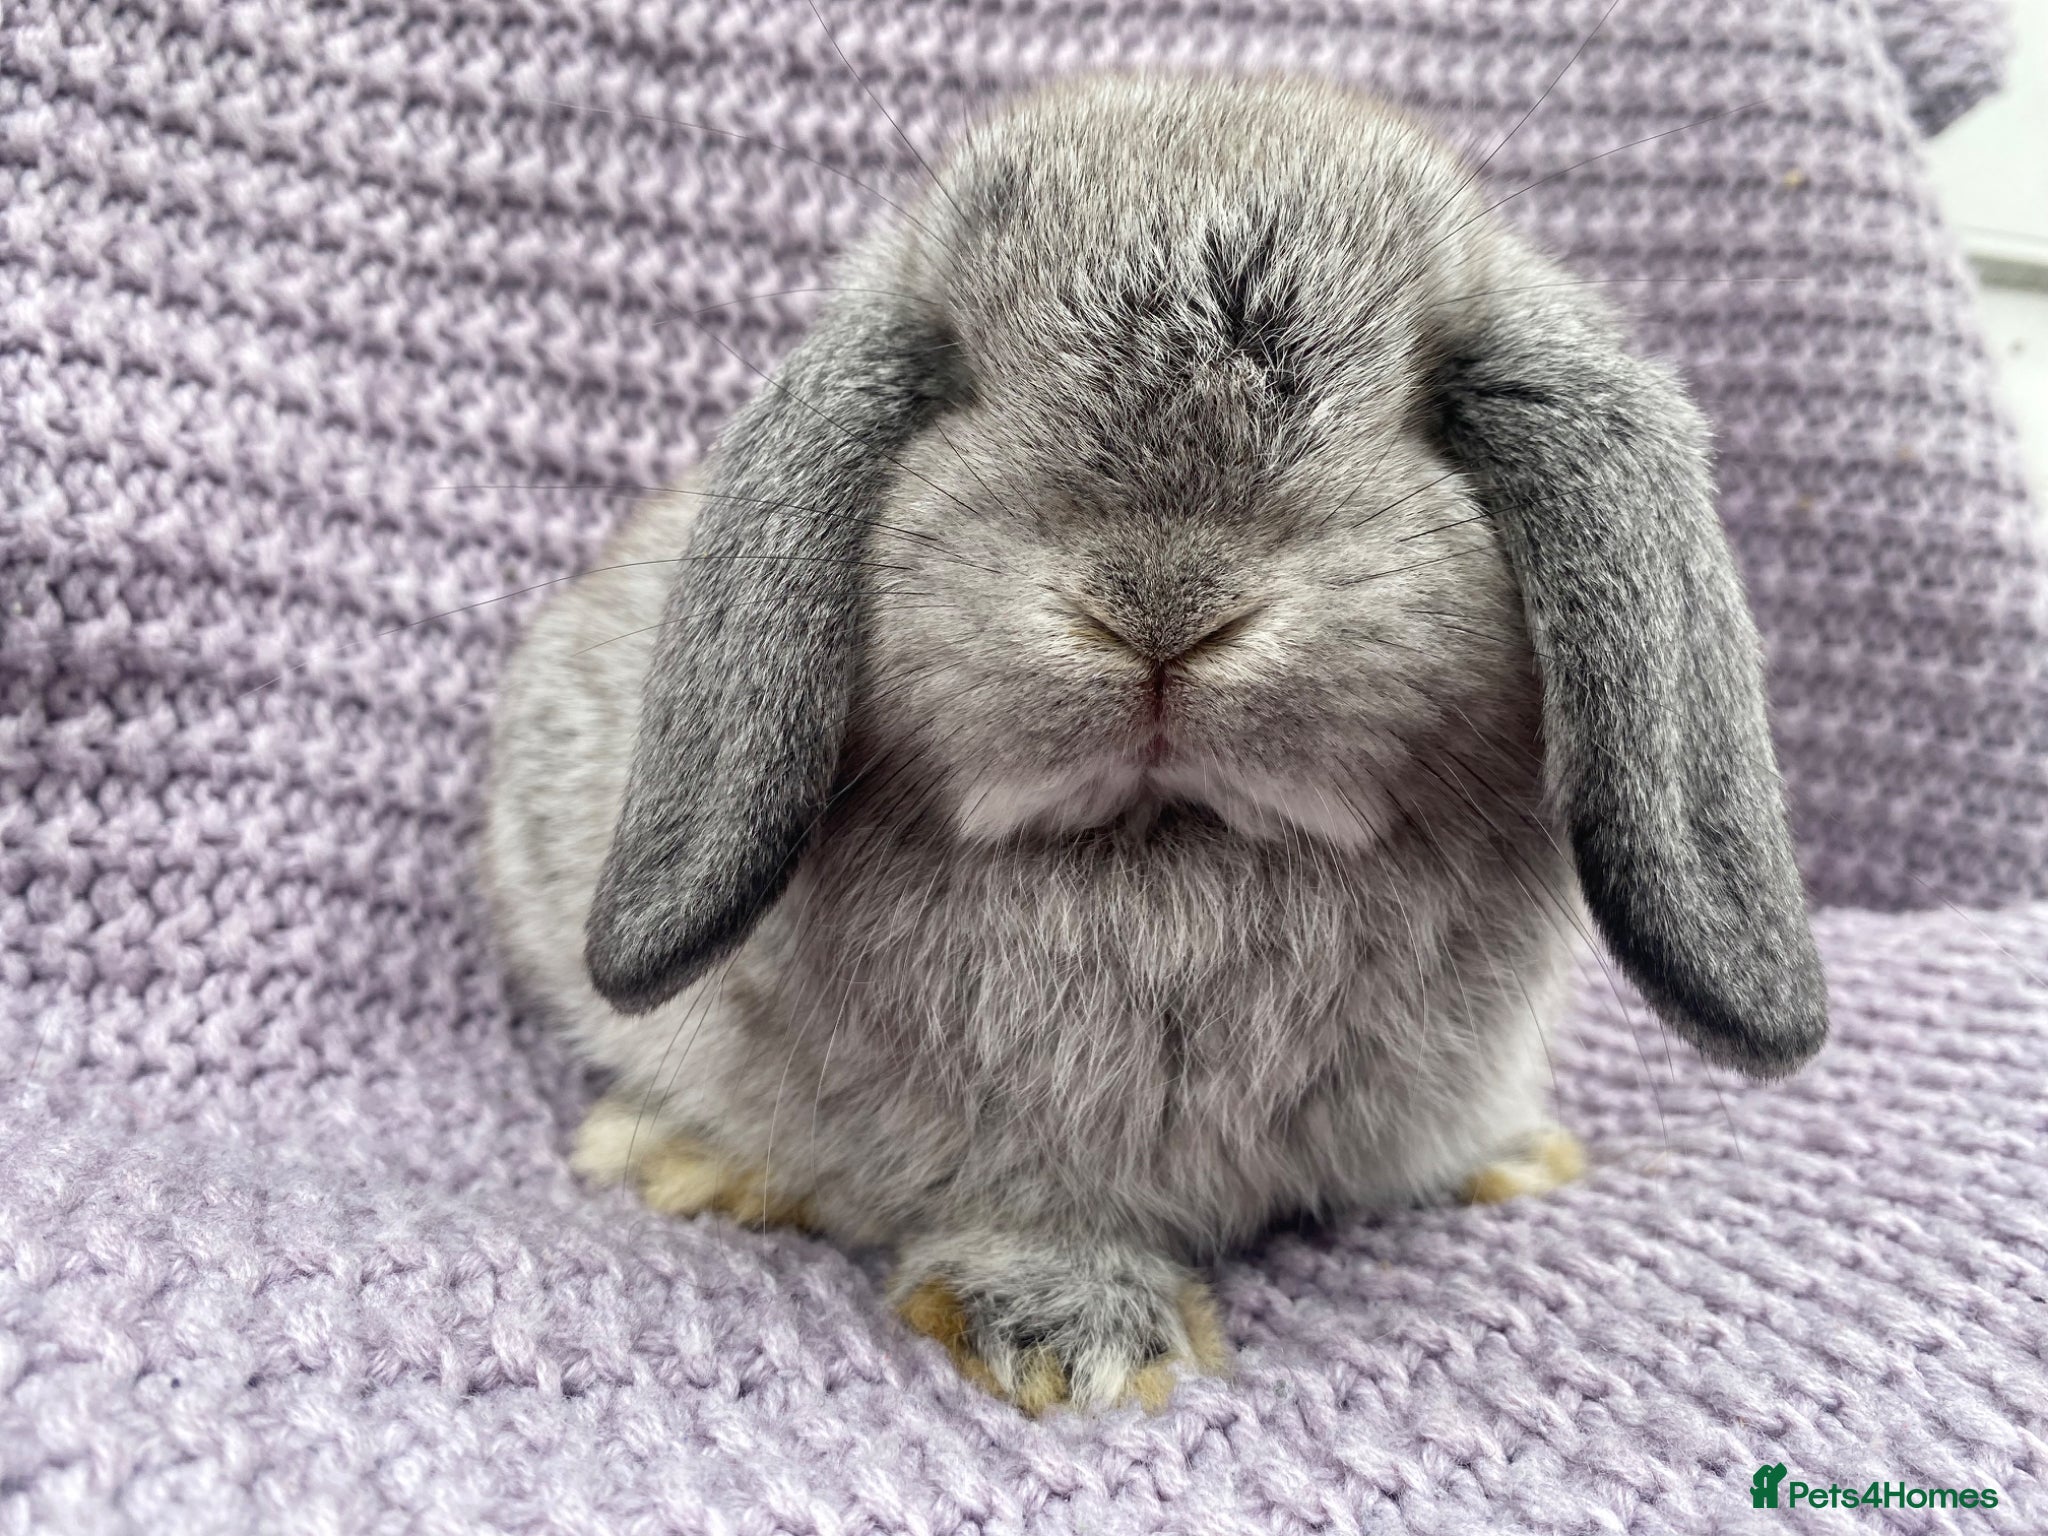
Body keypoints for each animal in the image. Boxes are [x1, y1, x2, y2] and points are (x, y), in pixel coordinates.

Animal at [482, 72, 1827, 1414]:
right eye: (956, 382)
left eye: (1426, 407)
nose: (1160, 609)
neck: (1173, 841)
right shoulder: (1007, 1127)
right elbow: (1021, 1205)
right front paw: (1077, 1342)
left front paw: (1507, 1159)